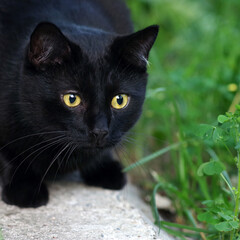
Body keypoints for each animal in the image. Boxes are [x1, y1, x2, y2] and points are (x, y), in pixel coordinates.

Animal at [0, 0, 158, 207]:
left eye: (119, 100)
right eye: (72, 99)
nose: (100, 131)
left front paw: (102, 168)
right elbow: (9, 152)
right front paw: (24, 188)